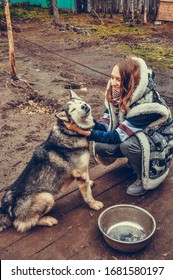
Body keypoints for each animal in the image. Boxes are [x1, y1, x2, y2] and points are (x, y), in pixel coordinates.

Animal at [0, 91, 104, 233]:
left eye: (80, 102)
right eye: (73, 109)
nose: (84, 105)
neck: (69, 132)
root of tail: (7, 204)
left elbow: (87, 185)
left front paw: (90, 183)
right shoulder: (81, 173)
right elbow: (87, 195)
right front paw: (93, 204)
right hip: (47, 196)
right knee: (22, 224)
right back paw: (48, 220)